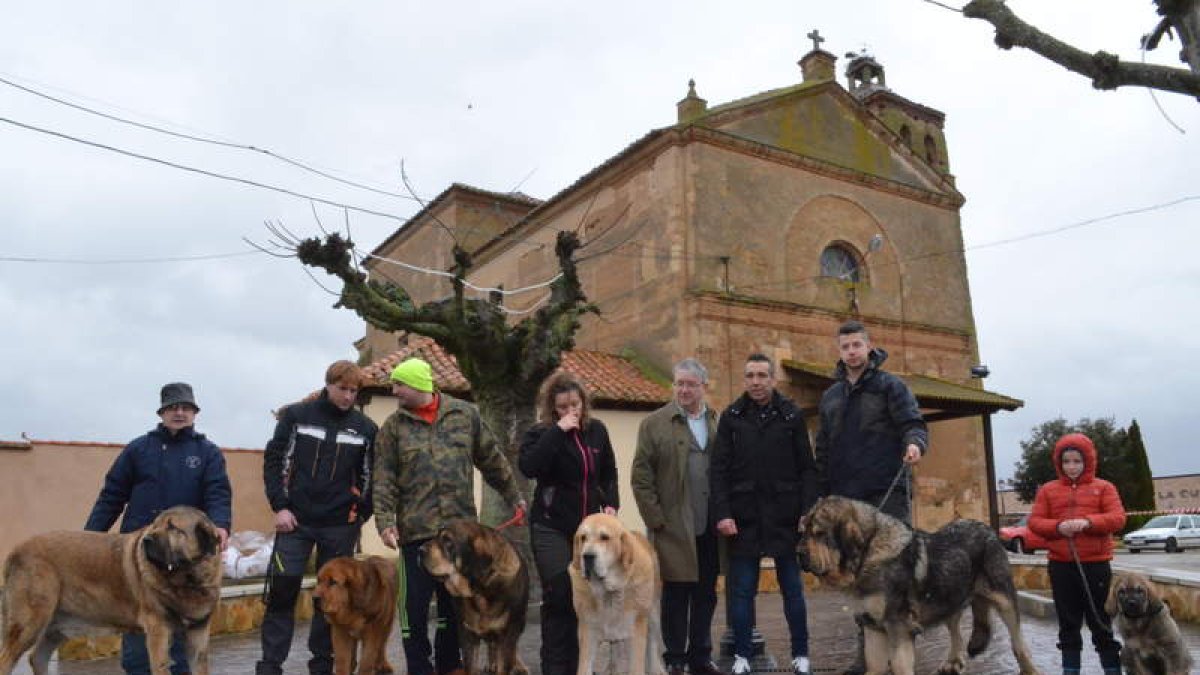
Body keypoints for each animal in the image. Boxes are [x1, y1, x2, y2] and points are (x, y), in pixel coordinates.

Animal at [0, 504, 223, 672]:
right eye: (155, 525)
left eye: (172, 527)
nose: (146, 540)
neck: (187, 579)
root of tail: (15, 551)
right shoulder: (158, 629)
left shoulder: (198, 635)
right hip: (30, 622)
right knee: (7, 660)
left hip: (55, 626)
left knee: (36, 657)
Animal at [424, 521, 532, 672]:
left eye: (448, 541)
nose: (420, 550)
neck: (479, 593)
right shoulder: (467, 635)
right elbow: (470, 665)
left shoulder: (508, 634)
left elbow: (505, 662)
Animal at [796, 494, 1041, 672]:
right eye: (802, 532)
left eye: (819, 533)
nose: (798, 553)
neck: (868, 553)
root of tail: (987, 528)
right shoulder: (872, 626)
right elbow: (874, 665)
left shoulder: (899, 627)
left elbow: (899, 665)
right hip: (948, 598)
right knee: (956, 632)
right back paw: (952, 661)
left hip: (1004, 599)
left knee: (1018, 643)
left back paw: (1029, 668)